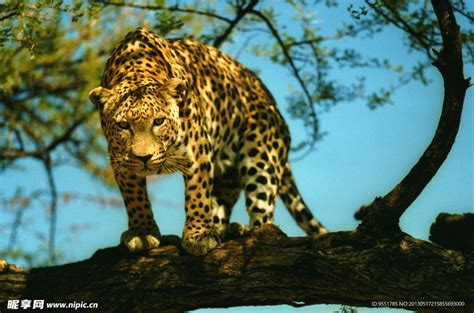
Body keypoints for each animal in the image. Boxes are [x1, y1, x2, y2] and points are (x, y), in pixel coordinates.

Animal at [88, 27, 326, 256]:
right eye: (123, 125)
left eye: (158, 121)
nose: (144, 157)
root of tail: (273, 104)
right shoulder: (120, 160)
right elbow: (135, 198)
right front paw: (143, 232)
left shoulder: (198, 151)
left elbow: (198, 194)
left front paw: (198, 236)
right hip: (228, 176)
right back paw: (224, 230)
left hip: (261, 156)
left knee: (264, 215)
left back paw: (249, 232)